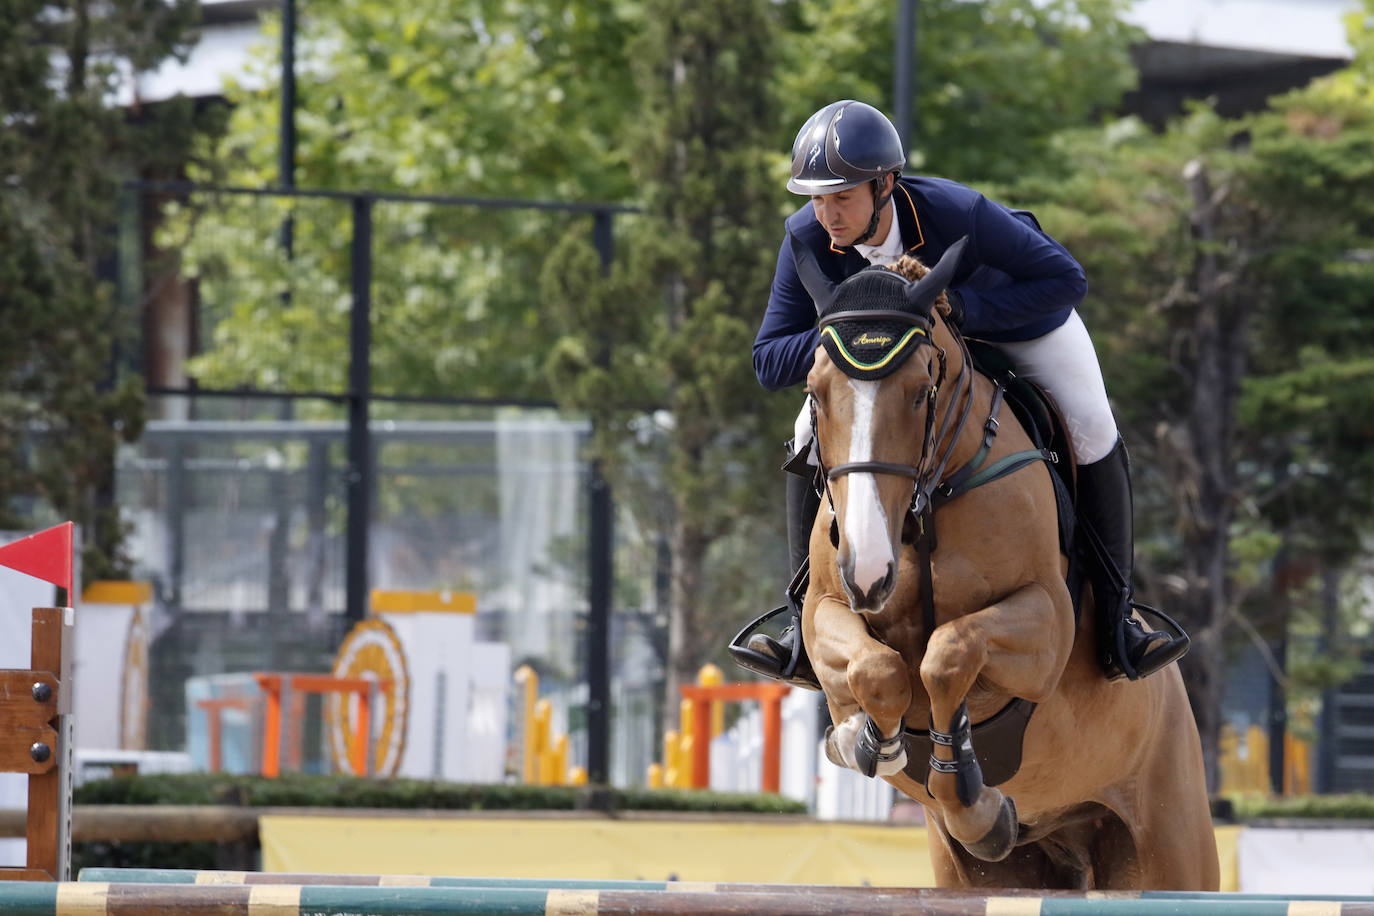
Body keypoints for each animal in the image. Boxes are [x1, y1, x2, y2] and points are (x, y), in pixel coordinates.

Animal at [802, 240, 1220, 889]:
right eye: (815, 392)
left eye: (920, 391)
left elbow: (948, 654)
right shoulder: (824, 608)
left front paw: (976, 799)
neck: (925, 509)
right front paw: (865, 739)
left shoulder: (1045, 624)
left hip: (1171, 848)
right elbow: (878, 669)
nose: (869, 571)